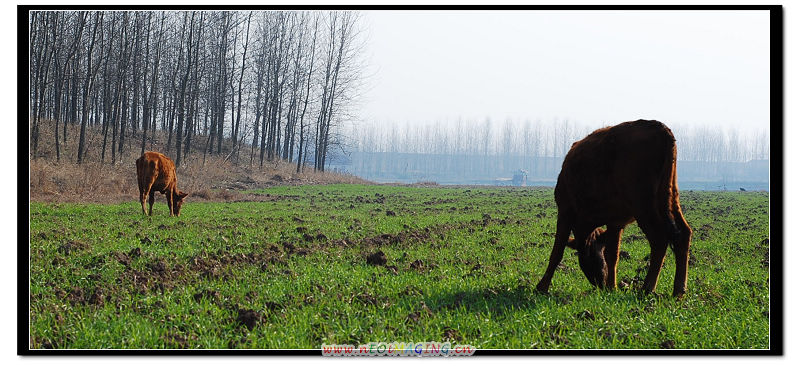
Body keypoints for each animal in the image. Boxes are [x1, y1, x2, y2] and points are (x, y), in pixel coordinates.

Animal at [536, 120, 692, 298]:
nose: (600, 283)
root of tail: (660, 128)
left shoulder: (565, 211)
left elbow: (557, 250)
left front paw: (542, 286)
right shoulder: (616, 222)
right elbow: (613, 255)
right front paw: (613, 286)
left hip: (644, 205)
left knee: (659, 239)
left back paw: (647, 287)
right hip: (669, 197)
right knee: (682, 234)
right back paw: (679, 290)